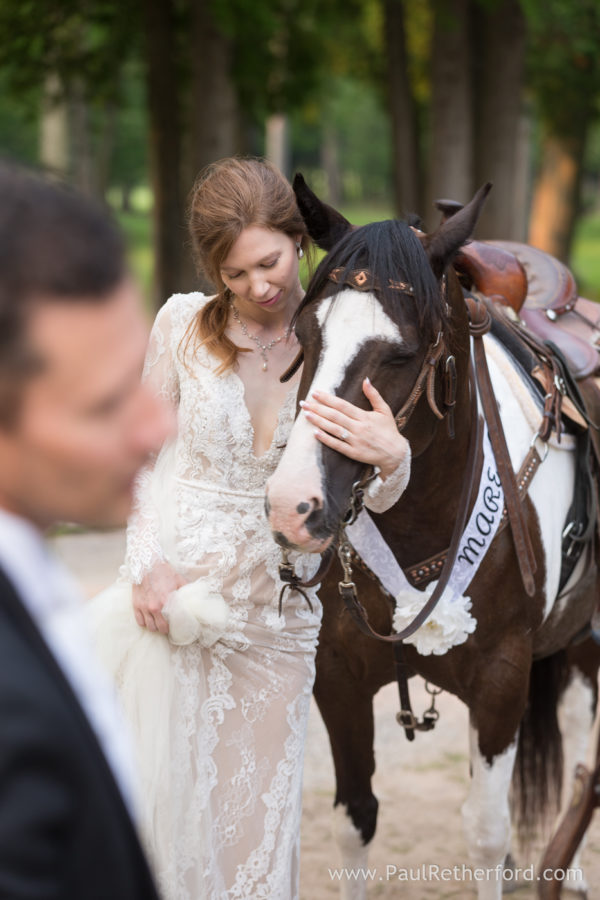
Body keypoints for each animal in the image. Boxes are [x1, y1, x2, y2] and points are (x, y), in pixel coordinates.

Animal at [265, 179, 600, 899]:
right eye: (305, 334)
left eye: (401, 353)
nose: (293, 503)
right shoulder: (337, 679)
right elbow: (355, 819)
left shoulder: (502, 679)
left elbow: (485, 834)